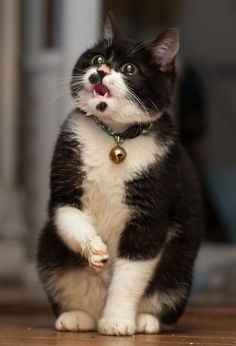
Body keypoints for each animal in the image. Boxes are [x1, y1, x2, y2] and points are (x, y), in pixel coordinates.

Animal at [37, 14, 203, 336]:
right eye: (98, 58)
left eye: (129, 69)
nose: (100, 71)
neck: (115, 138)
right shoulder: (66, 178)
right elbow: (68, 216)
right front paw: (93, 248)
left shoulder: (151, 212)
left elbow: (130, 275)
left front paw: (117, 320)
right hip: (48, 250)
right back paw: (77, 316)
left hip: (179, 268)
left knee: (164, 291)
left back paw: (145, 320)